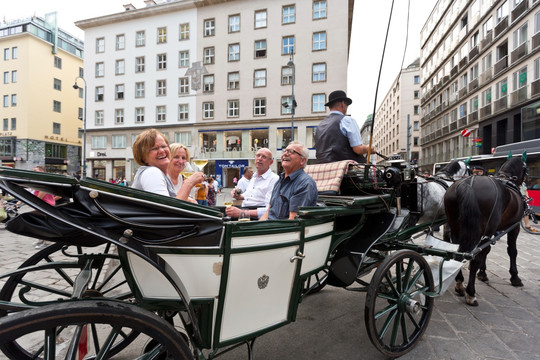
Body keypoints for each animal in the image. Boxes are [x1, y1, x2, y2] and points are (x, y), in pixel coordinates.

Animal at [442, 153, 528, 306]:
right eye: (526, 169)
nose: (526, 182)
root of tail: (468, 183)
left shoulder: (492, 231)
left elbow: (486, 251)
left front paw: (482, 273)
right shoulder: (514, 226)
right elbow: (512, 251)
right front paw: (515, 277)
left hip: (456, 227)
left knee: (459, 253)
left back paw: (459, 283)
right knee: (474, 257)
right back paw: (471, 293)